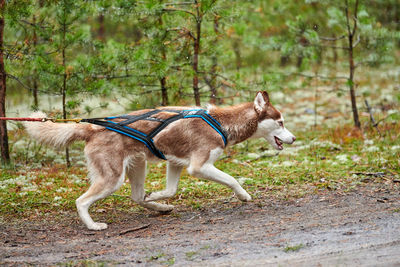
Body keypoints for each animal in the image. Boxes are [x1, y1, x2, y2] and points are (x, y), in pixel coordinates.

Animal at [24, 91, 294, 230]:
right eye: (280, 122)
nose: (293, 138)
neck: (221, 123)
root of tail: (92, 127)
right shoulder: (199, 166)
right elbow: (231, 179)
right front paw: (243, 196)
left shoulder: (176, 163)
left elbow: (170, 190)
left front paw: (156, 197)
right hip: (112, 178)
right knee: (81, 201)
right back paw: (93, 226)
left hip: (137, 166)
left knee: (136, 197)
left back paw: (158, 207)